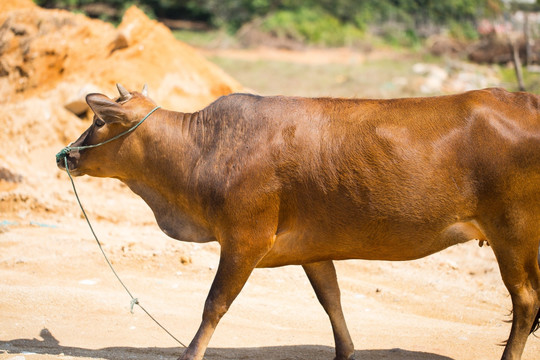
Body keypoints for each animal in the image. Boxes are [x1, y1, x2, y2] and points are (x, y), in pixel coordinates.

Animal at [57, 85, 536, 360]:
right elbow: (332, 301)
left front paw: (190, 353)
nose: (67, 156)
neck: (202, 148)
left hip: (513, 233)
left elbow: (214, 304)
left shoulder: (245, 240)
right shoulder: (313, 249)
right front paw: (346, 351)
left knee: (526, 302)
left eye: (97, 121)